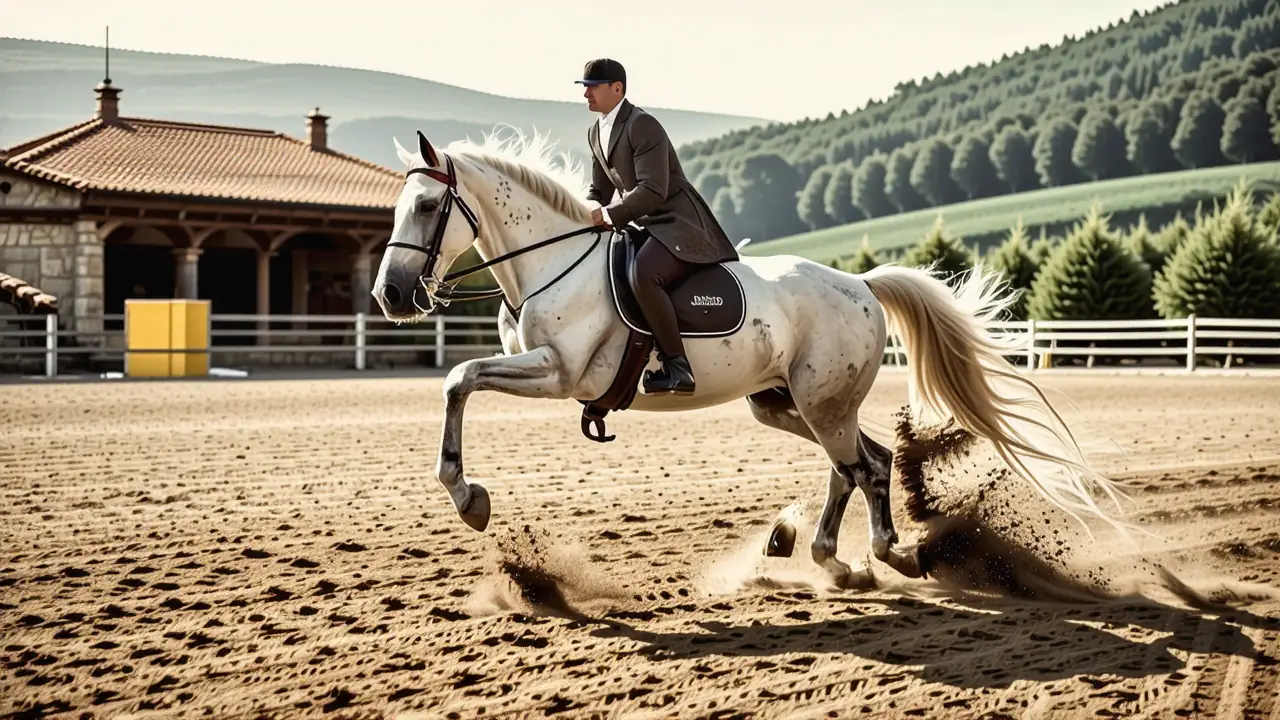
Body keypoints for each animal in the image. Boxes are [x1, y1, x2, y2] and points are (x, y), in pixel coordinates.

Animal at [370, 128, 1133, 590]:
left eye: (429, 205)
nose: (391, 294)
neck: (553, 263)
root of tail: (861, 285)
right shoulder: (549, 372)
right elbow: (461, 382)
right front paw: (468, 495)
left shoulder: (559, 373)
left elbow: (458, 379)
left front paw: (468, 497)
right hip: (783, 404)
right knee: (863, 462)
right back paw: (843, 555)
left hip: (820, 401)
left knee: (858, 466)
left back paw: (872, 555)